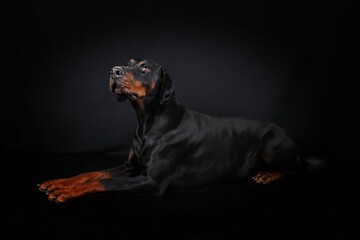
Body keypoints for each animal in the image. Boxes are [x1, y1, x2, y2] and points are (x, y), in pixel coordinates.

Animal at [38, 58, 300, 202]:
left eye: (145, 69)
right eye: (128, 63)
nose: (114, 71)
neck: (148, 122)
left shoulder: (152, 181)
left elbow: (102, 183)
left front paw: (67, 191)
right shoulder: (130, 166)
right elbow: (92, 174)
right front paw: (60, 182)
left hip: (273, 145)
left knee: (293, 169)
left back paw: (267, 175)